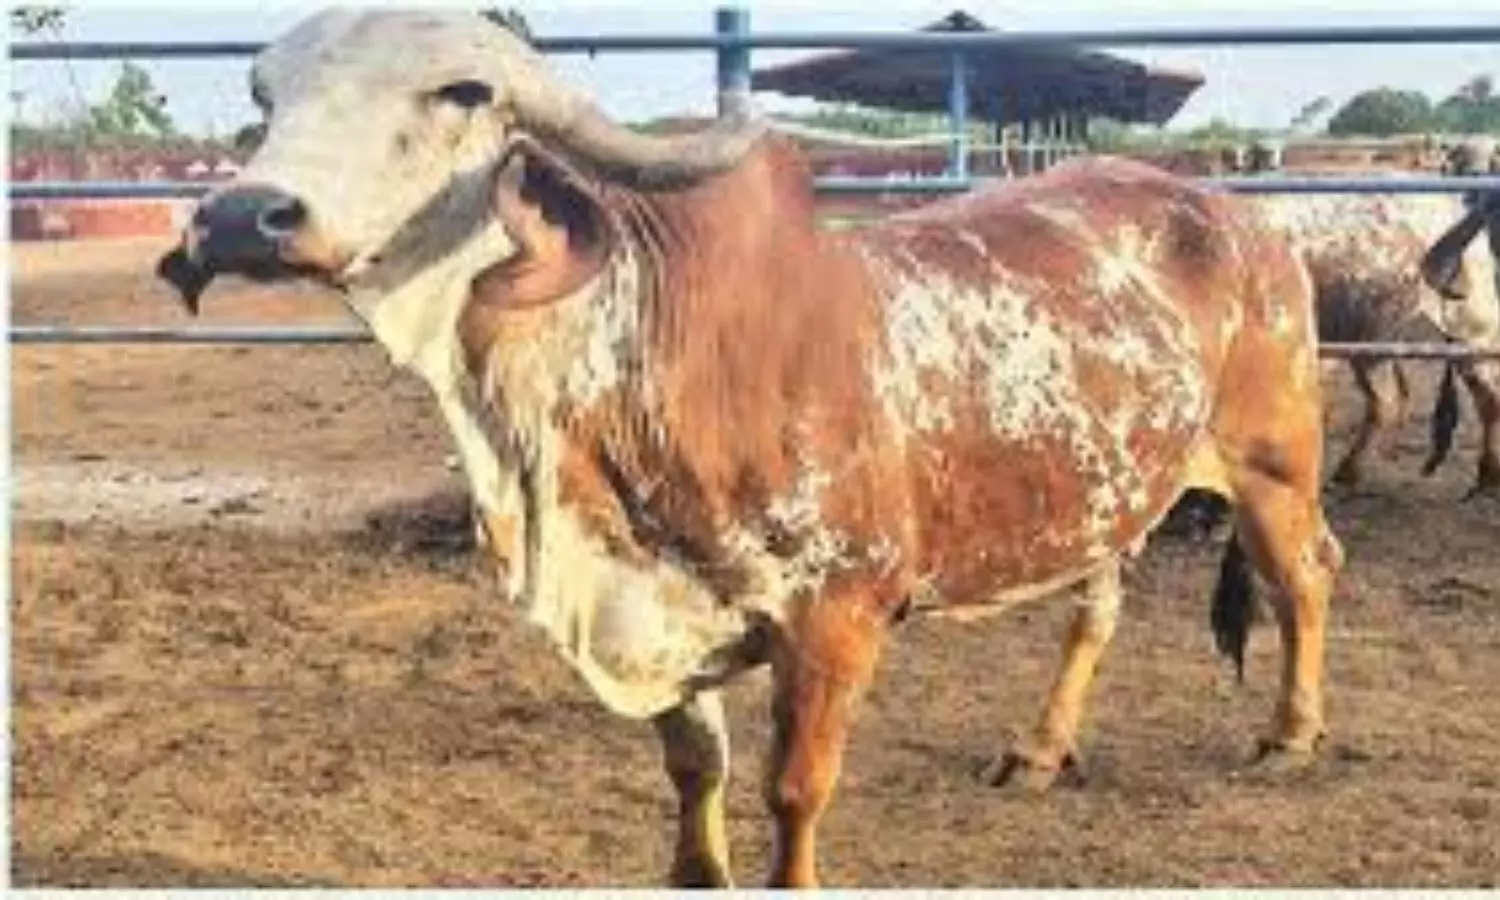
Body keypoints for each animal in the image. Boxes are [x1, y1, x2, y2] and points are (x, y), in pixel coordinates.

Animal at [155, 10, 1342, 888]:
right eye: (265, 97)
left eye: (464, 92)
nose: (243, 215)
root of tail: (1237, 213)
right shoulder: (672, 619)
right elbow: (697, 773)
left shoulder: (837, 619)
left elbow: (793, 787)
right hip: (1104, 491)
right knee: (1097, 609)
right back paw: (1042, 749)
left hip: (1272, 466)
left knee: (1305, 578)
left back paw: (1292, 734)